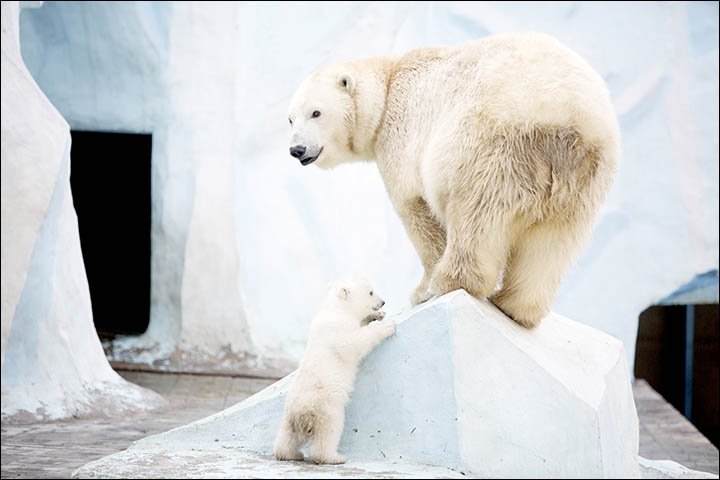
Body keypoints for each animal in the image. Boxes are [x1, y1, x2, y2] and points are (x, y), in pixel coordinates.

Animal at [286, 32, 620, 326]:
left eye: (316, 112)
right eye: (291, 118)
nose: (296, 149)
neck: (388, 87)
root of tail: (569, 121)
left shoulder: (401, 132)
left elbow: (415, 208)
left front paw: (421, 290)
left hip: (491, 146)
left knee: (476, 215)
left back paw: (451, 281)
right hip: (583, 180)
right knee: (552, 244)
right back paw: (516, 306)